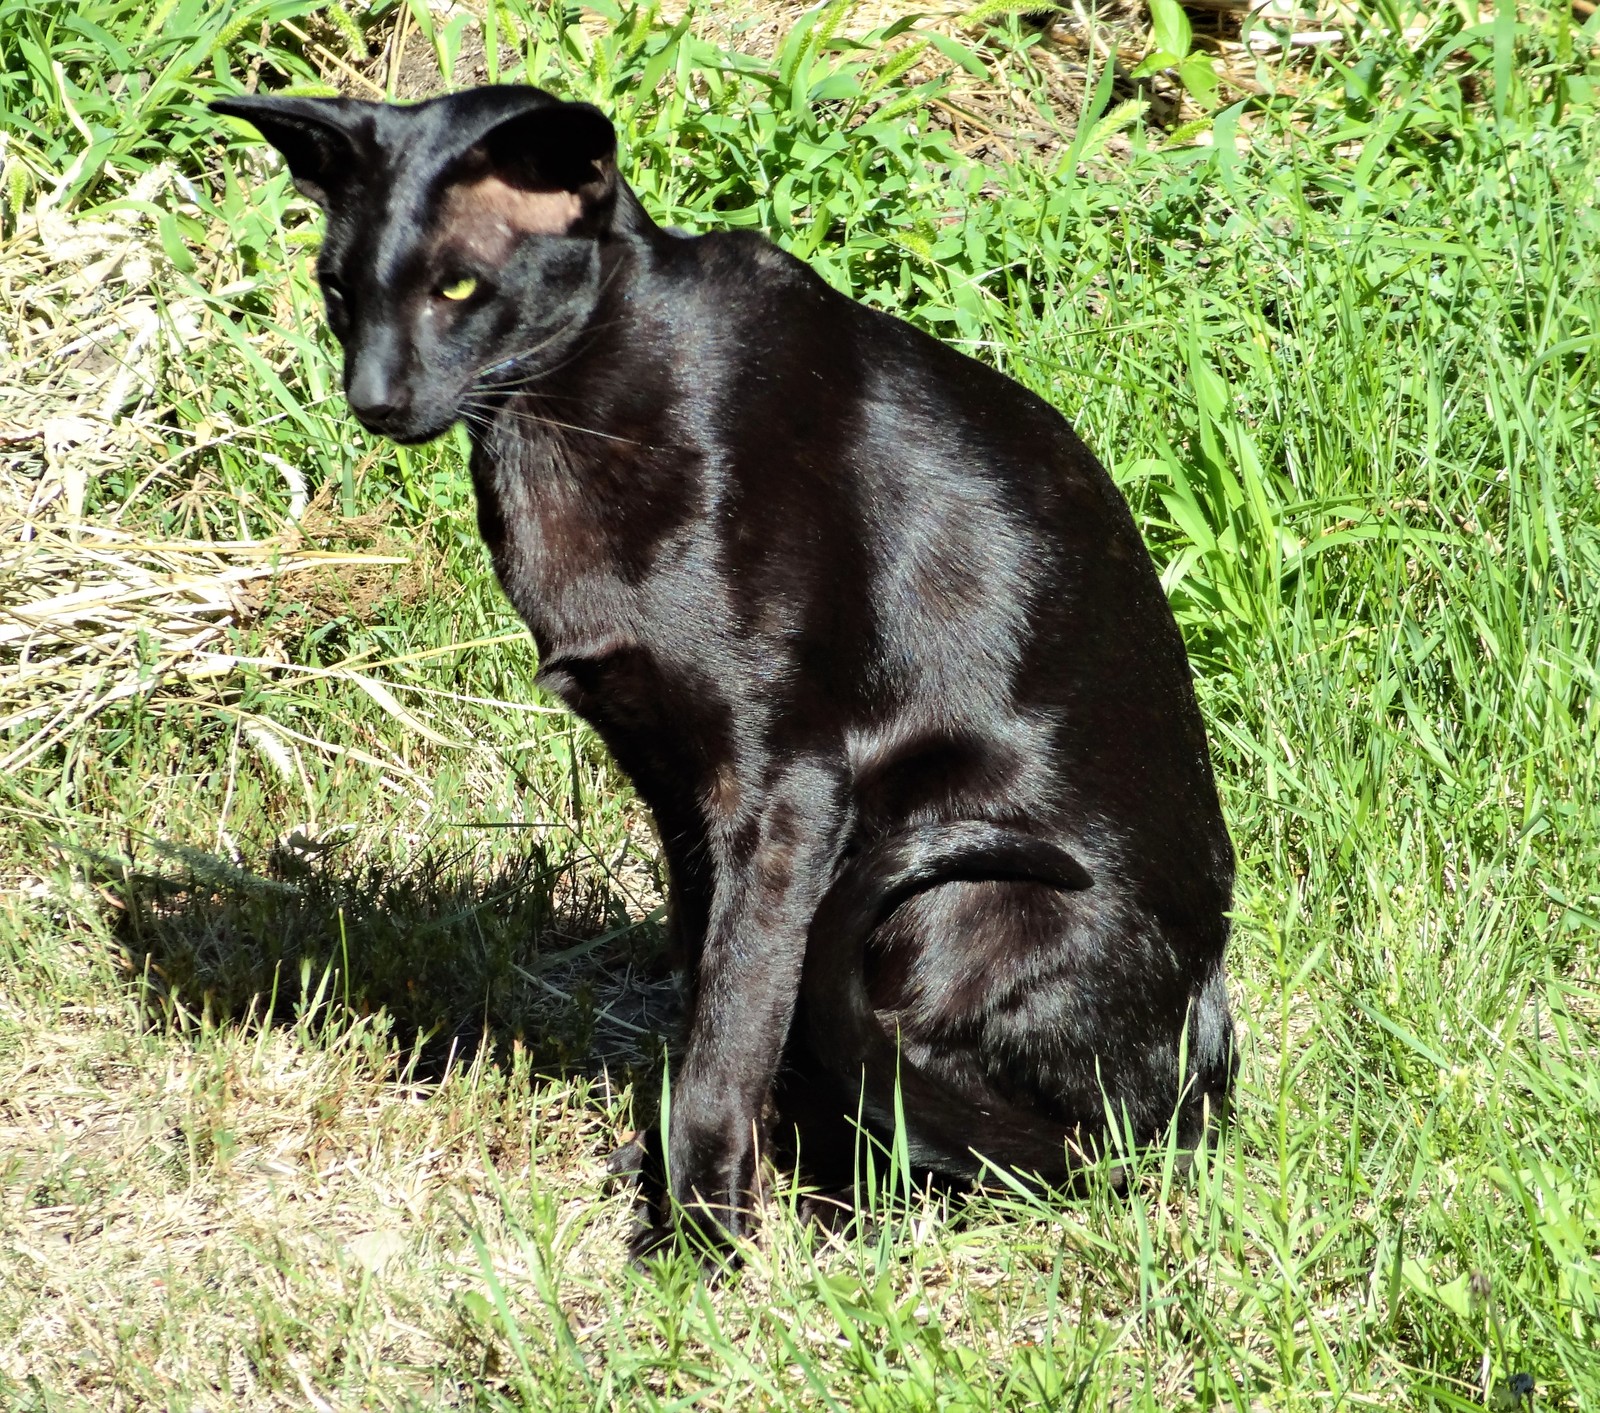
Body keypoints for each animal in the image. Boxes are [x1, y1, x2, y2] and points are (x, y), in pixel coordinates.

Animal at [212, 88, 1235, 1254]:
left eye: (458, 286)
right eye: (339, 290)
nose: (372, 397)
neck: (560, 428)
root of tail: (1199, 1094)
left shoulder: (782, 783)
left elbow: (734, 1026)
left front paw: (699, 1241)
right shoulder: (672, 779)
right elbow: (718, 994)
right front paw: (687, 1179)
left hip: (961, 895)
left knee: (998, 1142)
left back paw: (855, 1207)